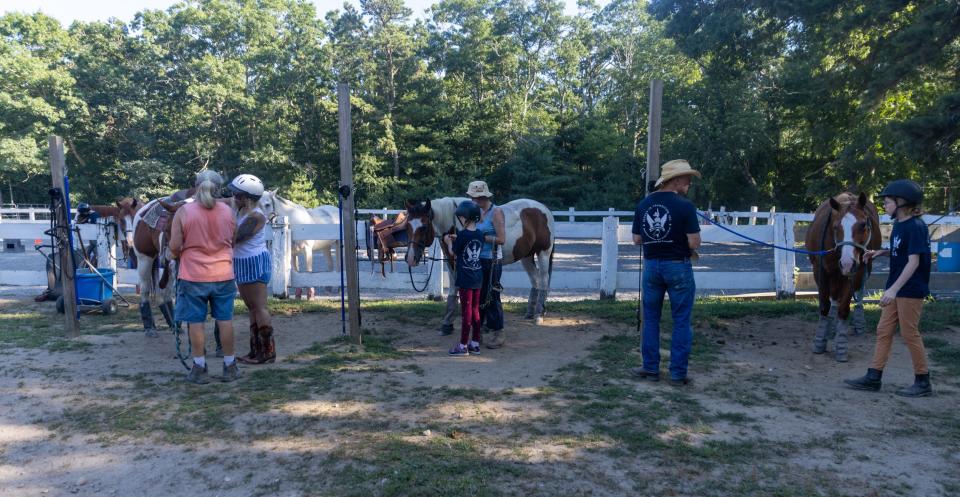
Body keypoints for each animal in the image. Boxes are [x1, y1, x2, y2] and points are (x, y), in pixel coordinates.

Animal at [404, 196, 556, 328]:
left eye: (423, 227)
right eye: (407, 227)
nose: (411, 258)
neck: (457, 224)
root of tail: (544, 209)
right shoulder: (451, 262)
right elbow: (454, 290)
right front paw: (447, 324)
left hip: (543, 253)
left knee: (543, 280)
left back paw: (538, 315)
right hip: (527, 256)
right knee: (535, 280)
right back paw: (530, 313)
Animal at [808, 191, 880, 360]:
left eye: (863, 225)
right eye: (835, 227)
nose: (847, 263)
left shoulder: (856, 271)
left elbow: (844, 308)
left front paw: (841, 345)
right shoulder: (820, 271)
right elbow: (824, 305)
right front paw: (820, 340)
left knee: (858, 294)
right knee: (834, 298)